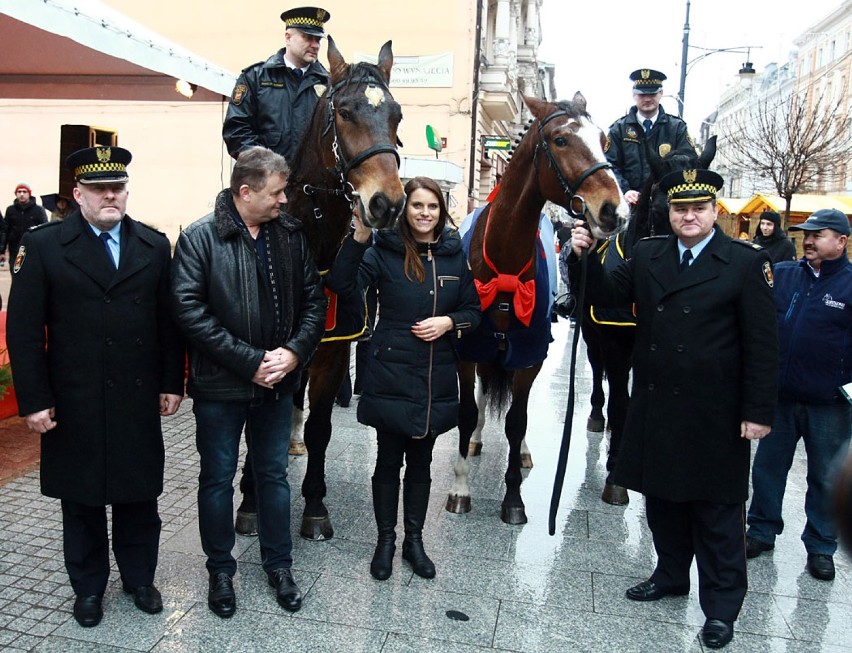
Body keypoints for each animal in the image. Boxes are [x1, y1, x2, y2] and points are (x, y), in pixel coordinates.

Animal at [235, 38, 404, 544]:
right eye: (345, 112)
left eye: (397, 115)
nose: (387, 204)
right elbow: (254, 426)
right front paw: (249, 502)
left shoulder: (330, 350)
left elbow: (321, 428)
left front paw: (313, 505)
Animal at [452, 94, 624, 524]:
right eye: (561, 140)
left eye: (604, 140)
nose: (614, 210)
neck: (504, 265)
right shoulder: (467, 350)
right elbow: (466, 411)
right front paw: (460, 488)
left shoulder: (529, 355)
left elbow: (517, 421)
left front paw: (513, 497)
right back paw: (475, 439)